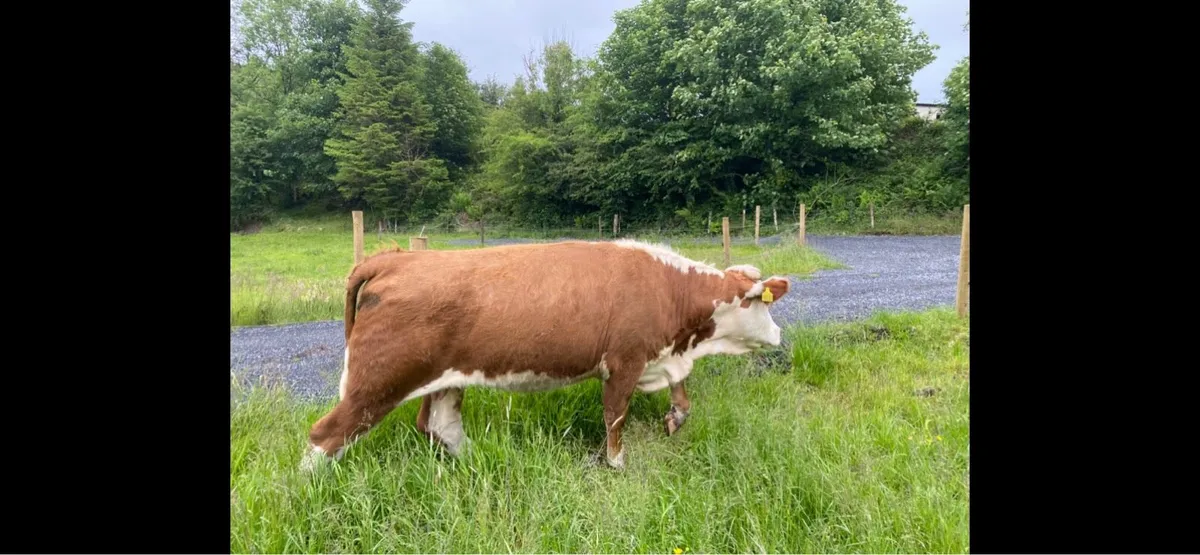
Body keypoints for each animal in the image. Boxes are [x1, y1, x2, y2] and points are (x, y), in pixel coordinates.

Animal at [300, 239, 791, 471]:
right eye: (762, 303)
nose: (780, 335)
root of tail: (396, 259)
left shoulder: (662, 355)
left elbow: (682, 394)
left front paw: (674, 419)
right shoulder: (624, 360)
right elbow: (615, 417)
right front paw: (616, 463)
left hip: (445, 377)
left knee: (440, 425)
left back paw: (484, 462)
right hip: (376, 382)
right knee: (325, 435)